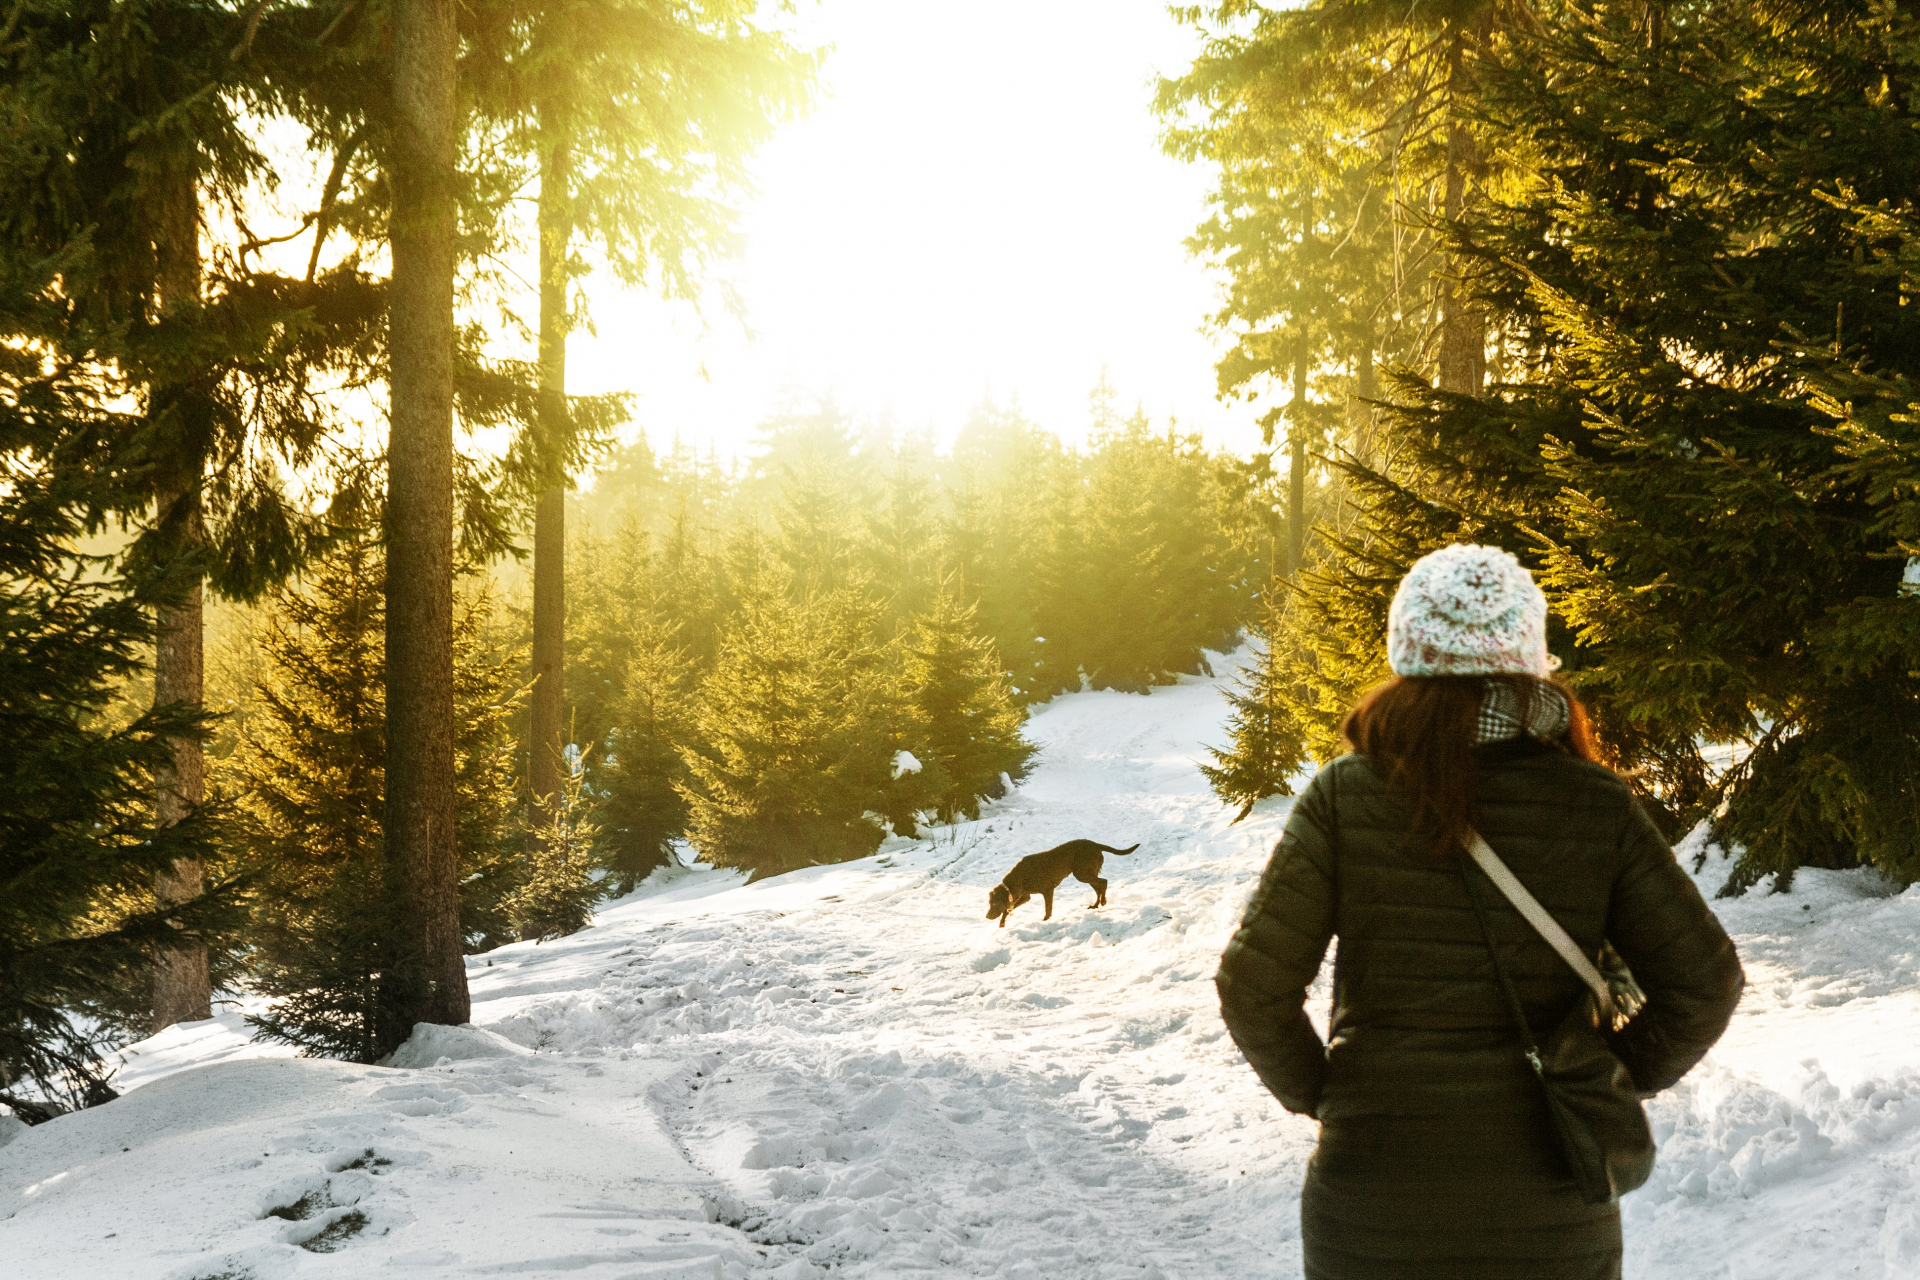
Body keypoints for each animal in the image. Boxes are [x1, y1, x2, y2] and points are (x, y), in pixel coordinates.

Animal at [990, 836, 1136, 924]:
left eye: (995, 904)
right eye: (990, 903)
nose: (987, 916)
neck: (1019, 876)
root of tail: (1095, 844)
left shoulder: (1048, 891)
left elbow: (1048, 909)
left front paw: (1045, 920)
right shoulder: (1026, 896)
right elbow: (1008, 909)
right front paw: (1002, 923)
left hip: (1082, 874)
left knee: (1104, 882)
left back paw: (1103, 901)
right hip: (1086, 874)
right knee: (1099, 887)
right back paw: (1095, 905)